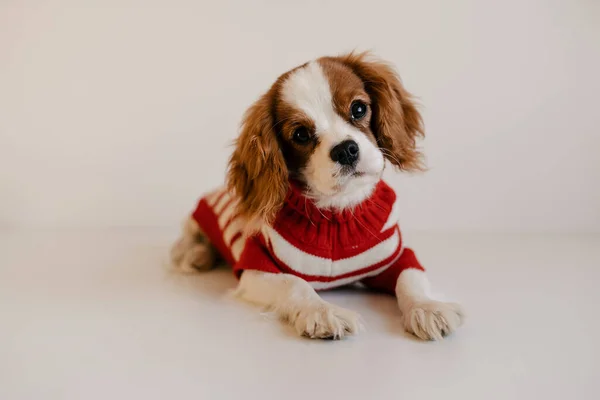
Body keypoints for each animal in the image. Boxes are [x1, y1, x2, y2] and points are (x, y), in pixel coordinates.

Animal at [170, 52, 464, 340]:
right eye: (301, 134)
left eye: (359, 109)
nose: (345, 149)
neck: (337, 213)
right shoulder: (255, 268)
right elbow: (295, 283)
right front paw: (322, 312)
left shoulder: (395, 257)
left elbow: (411, 277)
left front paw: (426, 308)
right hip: (197, 218)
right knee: (188, 239)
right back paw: (194, 254)